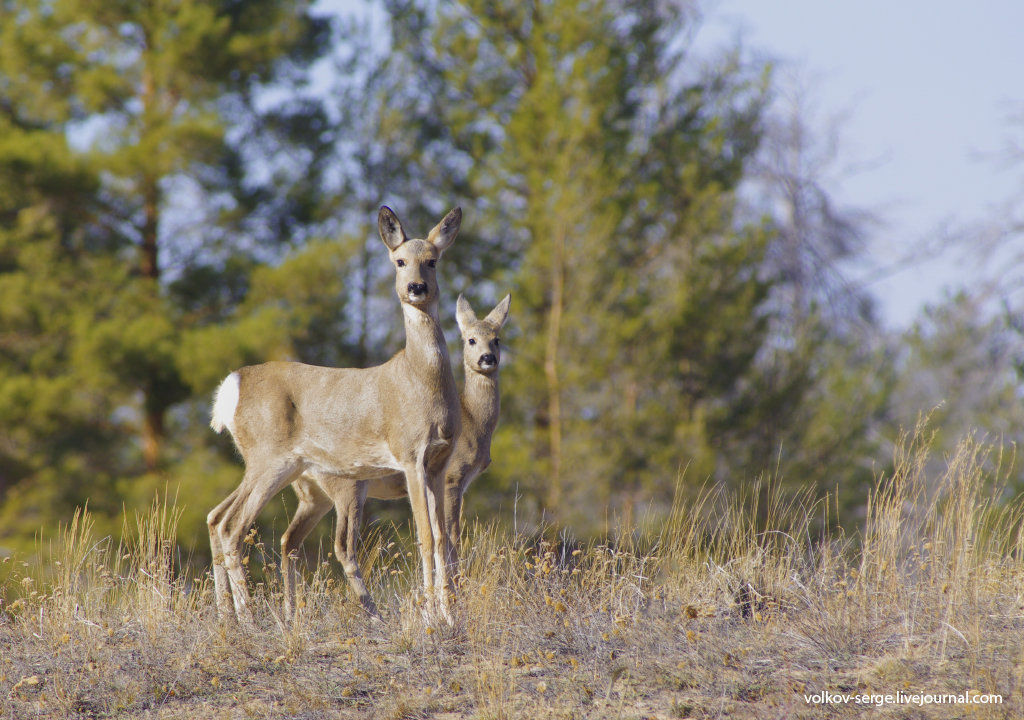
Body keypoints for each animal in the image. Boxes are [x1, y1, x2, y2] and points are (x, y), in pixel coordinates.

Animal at [206, 205, 460, 622]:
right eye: (399, 261)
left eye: (433, 260)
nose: (416, 288)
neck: (420, 380)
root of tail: (232, 384)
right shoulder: (409, 454)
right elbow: (424, 535)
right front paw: (432, 618)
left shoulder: (440, 461)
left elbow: (442, 538)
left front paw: (451, 614)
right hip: (269, 458)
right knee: (232, 525)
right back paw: (250, 619)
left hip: (278, 465)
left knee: (216, 517)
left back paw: (230, 616)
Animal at [280, 294, 507, 618]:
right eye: (471, 339)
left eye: (497, 339)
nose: (488, 358)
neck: (473, 421)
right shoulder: (453, 478)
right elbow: (451, 539)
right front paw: (452, 601)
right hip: (348, 487)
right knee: (343, 547)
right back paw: (374, 613)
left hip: (314, 496)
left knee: (289, 542)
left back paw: (290, 614)